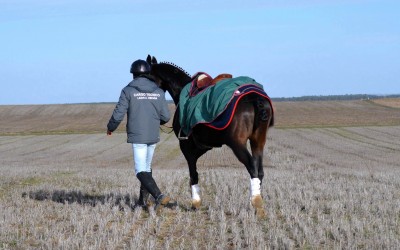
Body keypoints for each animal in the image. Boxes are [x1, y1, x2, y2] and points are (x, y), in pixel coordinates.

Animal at [147, 54, 276, 217]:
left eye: (148, 76)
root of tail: (255, 99)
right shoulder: (204, 145)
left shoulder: (186, 146)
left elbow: (193, 173)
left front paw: (195, 202)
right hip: (258, 141)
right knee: (259, 171)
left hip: (237, 144)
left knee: (252, 167)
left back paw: (257, 203)